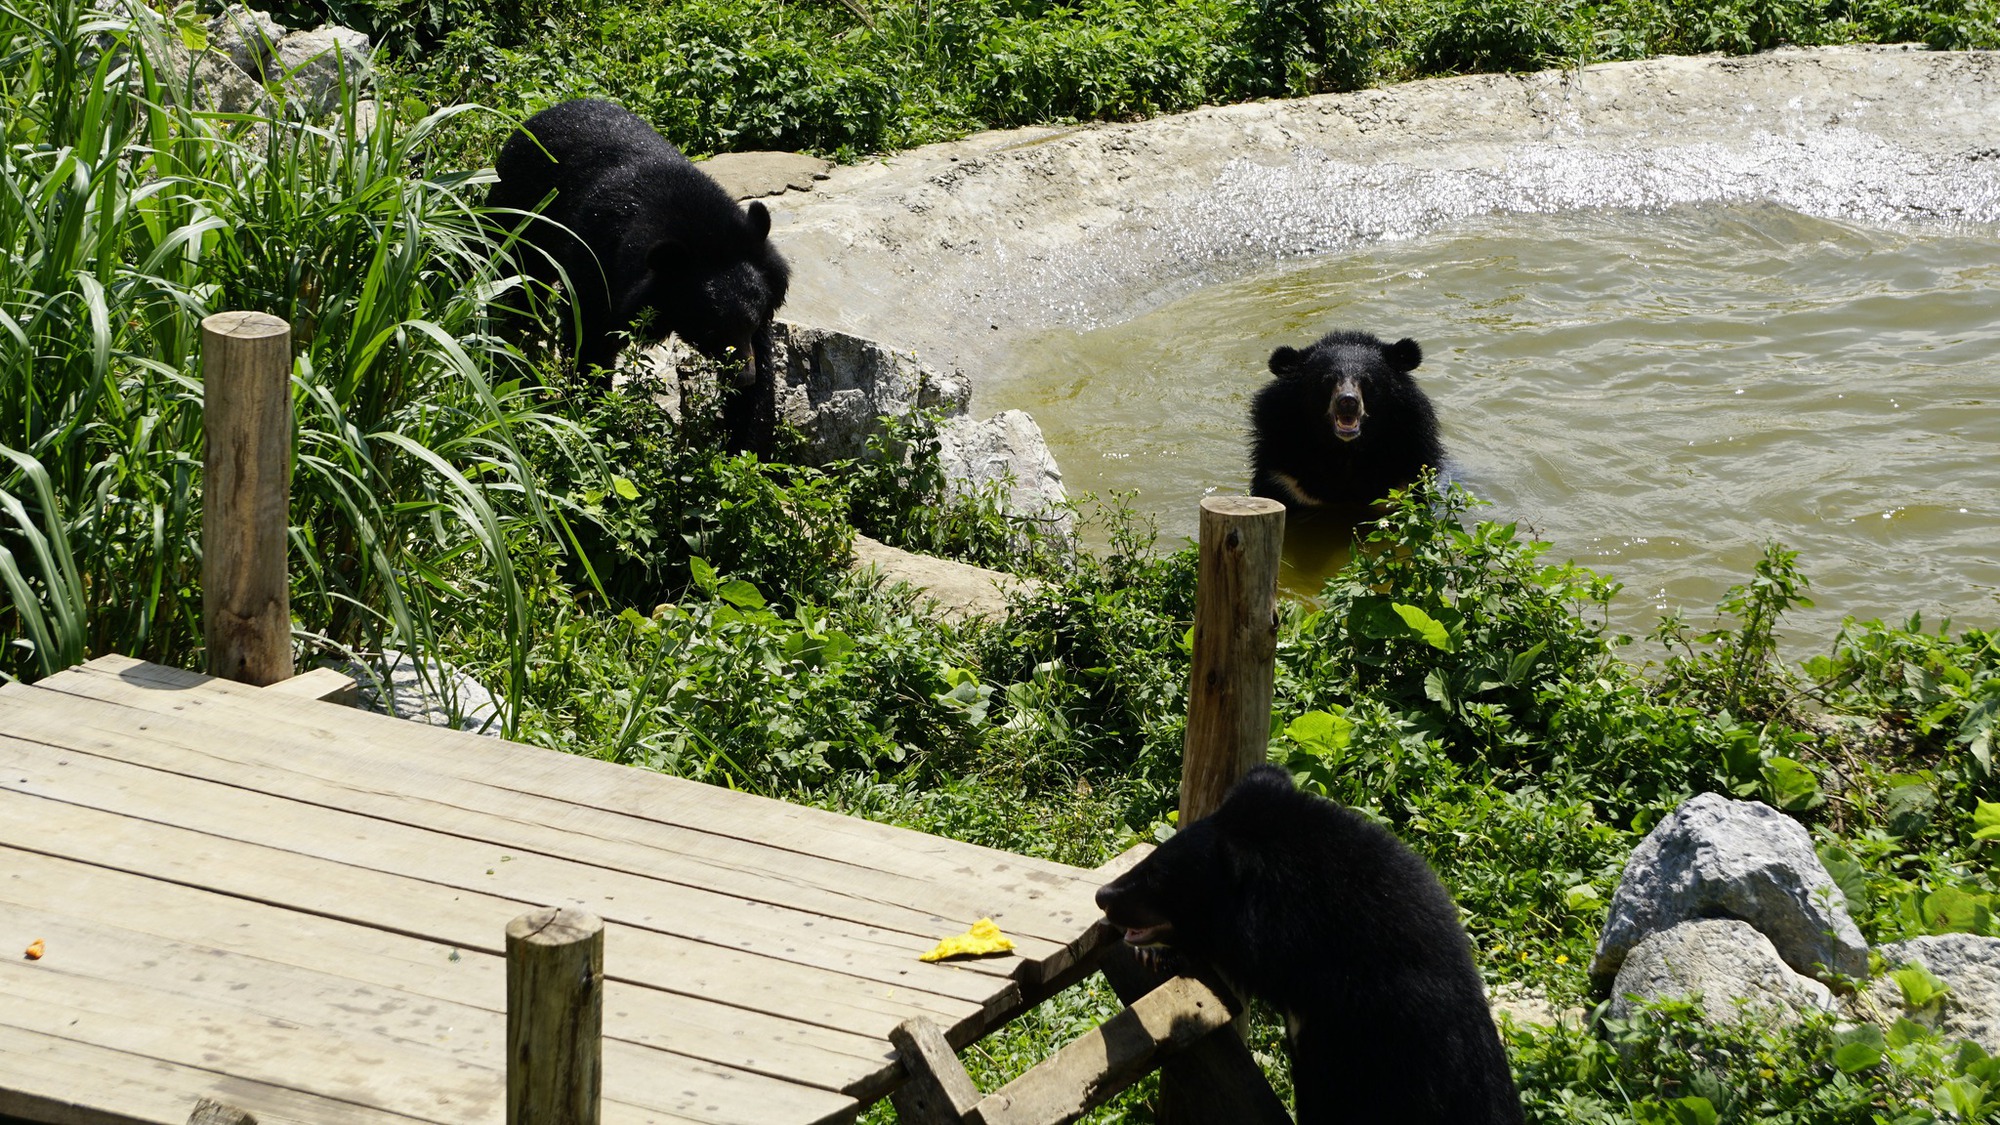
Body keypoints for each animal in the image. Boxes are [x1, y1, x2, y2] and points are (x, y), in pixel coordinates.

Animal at [486, 99, 788, 450]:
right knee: (509, 270)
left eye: (751, 323)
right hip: (520, 209)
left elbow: (763, 365)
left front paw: (745, 444)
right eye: (711, 330)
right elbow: (589, 332)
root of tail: (535, 118)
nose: (743, 378)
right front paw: (592, 410)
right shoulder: (599, 262)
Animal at [1248, 328, 1440, 508]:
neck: (1345, 451)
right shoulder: (1283, 477)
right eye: (1327, 380)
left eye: (1367, 381)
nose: (1348, 401)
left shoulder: (1406, 466)